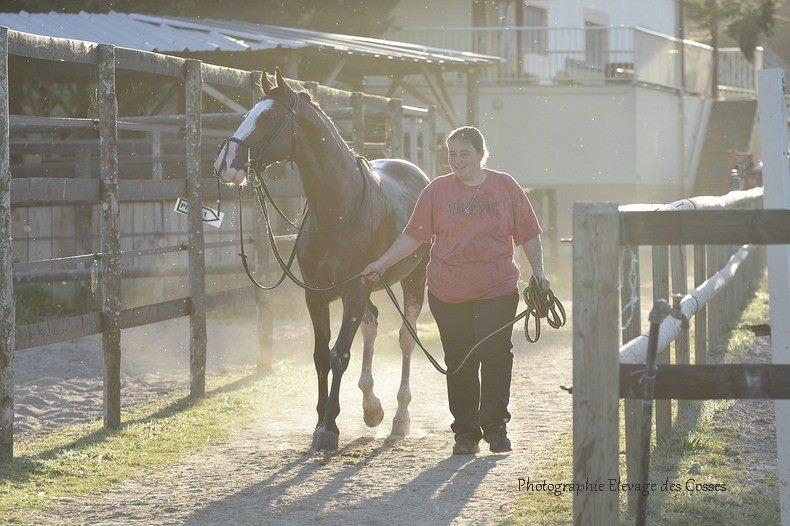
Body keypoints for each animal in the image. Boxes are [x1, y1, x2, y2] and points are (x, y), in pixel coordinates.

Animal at [213, 68, 430, 452]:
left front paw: (330, 427)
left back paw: (400, 417)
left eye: (268, 117)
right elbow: (319, 356)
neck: (338, 207)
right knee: (372, 324)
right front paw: (320, 422)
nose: (224, 165)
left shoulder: (354, 290)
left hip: (413, 279)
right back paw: (371, 407)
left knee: (406, 337)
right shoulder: (316, 294)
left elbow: (339, 354)